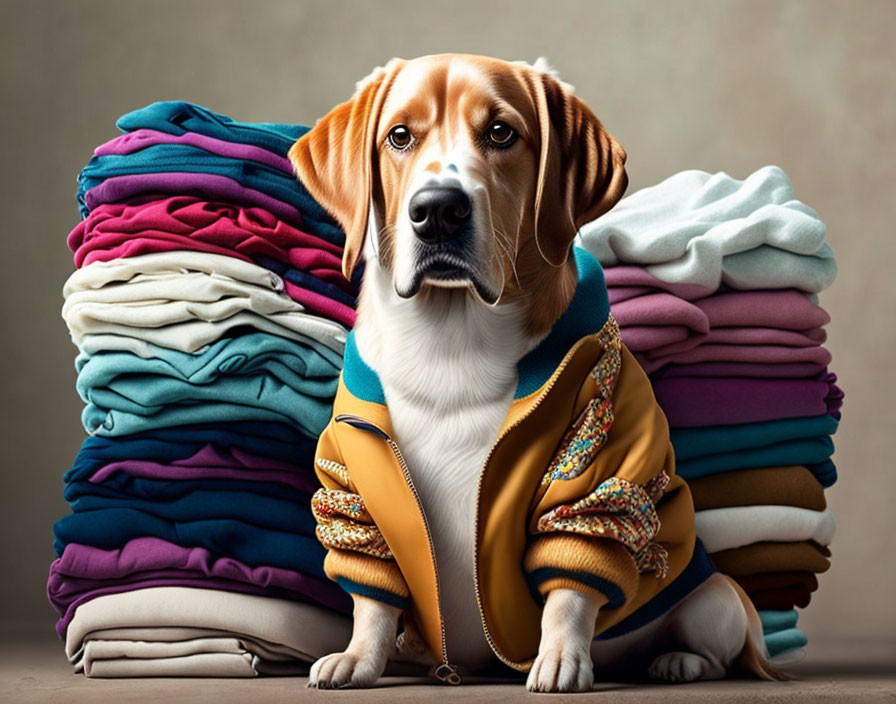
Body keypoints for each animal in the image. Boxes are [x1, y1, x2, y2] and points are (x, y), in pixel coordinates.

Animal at [288, 55, 776, 692]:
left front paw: (562, 658)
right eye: (399, 136)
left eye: (501, 133)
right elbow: (372, 598)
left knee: (713, 647)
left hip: (712, 598)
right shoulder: (356, 488)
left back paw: (675, 661)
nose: (438, 210)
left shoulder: (593, 472)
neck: (451, 345)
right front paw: (358, 658)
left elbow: (570, 590)